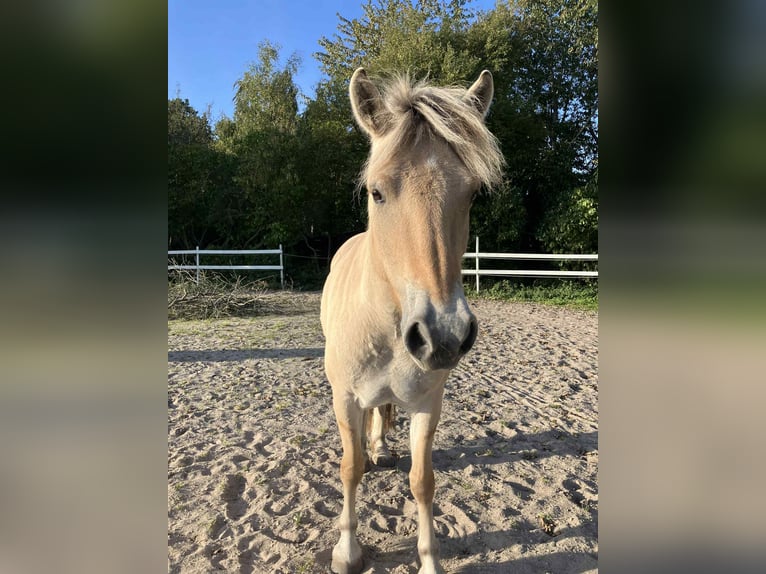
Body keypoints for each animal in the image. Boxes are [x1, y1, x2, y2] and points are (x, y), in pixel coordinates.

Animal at [320, 68, 504, 574]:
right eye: (376, 191)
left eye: (472, 193)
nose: (443, 335)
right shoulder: (344, 396)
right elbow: (350, 467)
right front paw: (347, 552)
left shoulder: (428, 402)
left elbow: (423, 481)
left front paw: (429, 561)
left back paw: (382, 447)